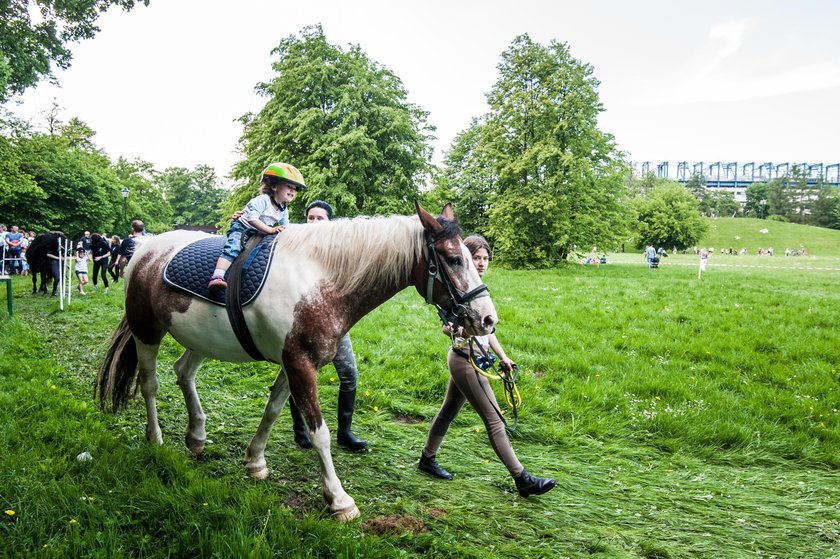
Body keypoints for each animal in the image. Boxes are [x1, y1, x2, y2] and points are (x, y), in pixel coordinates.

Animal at [95, 203, 496, 524]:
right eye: (453, 259)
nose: (488, 319)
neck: (321, 281)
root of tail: (144, 250)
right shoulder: (300, 364)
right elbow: (320, 432)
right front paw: (339, 499)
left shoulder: (297, 362)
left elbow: (273, 410)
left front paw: (255, 461)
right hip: (146, 331)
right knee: (149, 384)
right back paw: (156, 439)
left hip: (202, 340)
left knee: (183, 372)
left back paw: (196, 435)